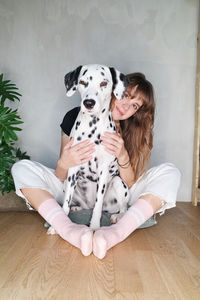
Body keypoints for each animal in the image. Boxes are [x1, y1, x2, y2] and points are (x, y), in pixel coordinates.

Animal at [62, 64, 130, 230]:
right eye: (82, 82)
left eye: (104, 83)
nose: (89, 103)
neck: (92, 128)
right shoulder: (72, 167)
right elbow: (65, 203)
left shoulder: (103, 169)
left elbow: (98, 207)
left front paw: (94, 227)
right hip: (67, 182)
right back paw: (76, 207)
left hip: (118, 183)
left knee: (124, 209)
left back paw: (117, 216)